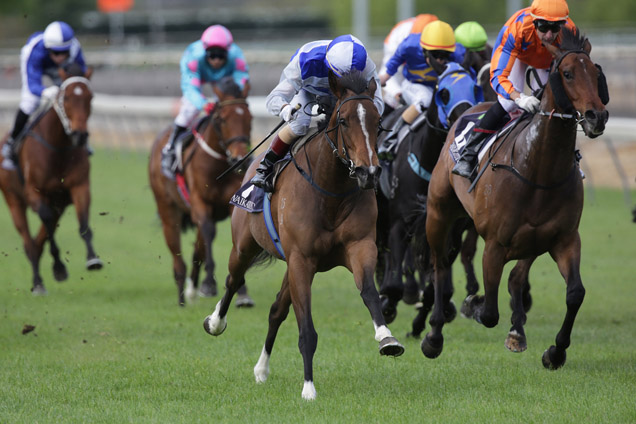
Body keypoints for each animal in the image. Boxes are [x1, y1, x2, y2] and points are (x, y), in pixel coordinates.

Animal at [0, 63, 100, 294]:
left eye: (90, 97)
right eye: (66, 97)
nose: (80, 135)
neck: (57, 148)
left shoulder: (79, 187)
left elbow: (83, 224)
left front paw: (92, 259)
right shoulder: (34, 192)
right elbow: (46, 226)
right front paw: (59, 268)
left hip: (58, 204)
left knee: (38, 240)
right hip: (13, 199)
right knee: (29, 241)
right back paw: (38, 282)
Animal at [149, 76, 251, 306]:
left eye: (250, 117)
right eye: (222, 119)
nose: (240, 159)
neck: (218, 166)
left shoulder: (231, 205)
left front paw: (241, 292)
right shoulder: (199, 202)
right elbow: (208, 233)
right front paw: (209, 283)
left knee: (199, 248)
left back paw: (191, 288)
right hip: (168, 211)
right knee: (178, 254)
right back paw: (182, 295)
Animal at [202, 70, 402, 400]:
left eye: (377, 120)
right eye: (343, 120)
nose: (369, 173)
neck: (330, 192)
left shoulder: (359, 247)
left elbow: (369, 292)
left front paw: (387, 338)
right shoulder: (301, 260)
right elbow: (306, 329)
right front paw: (309, 388)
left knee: (275, 311)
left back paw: (261, 369)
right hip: (244, 247)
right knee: (233, 280)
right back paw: (215, 321)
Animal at [376, 61, 484, 330]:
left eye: (475, 88)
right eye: (443, 93)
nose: (465, 120)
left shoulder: (451, 230)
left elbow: (437, 285)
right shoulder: (400, 221)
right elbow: (395, 284)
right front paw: (388, 304)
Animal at [420, 27, 608, 368]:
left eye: (596, 73)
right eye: (568, 73)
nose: (596, 116)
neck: (538, 170)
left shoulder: (564, 239)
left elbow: (575, 293)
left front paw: (555, 351)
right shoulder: (494, 245)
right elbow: (489, 312)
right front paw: (473, 304)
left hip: (531, 241)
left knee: (517, 276)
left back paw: (517, 330)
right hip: (438, 213)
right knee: (439, 267)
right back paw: (434, 334)